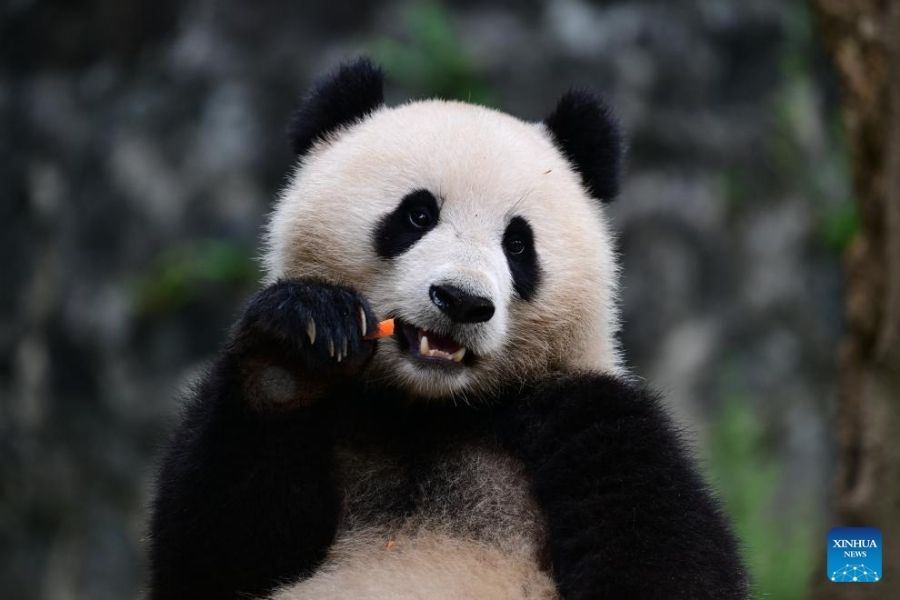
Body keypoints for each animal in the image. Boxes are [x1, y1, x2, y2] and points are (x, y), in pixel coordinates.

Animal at [148, 58, 748, 599]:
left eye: (518, 244)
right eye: (417, 215)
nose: (462, 301)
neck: (429, 409)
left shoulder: (591, 417)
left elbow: (668, 560)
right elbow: (219, 553)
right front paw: (295, 351)